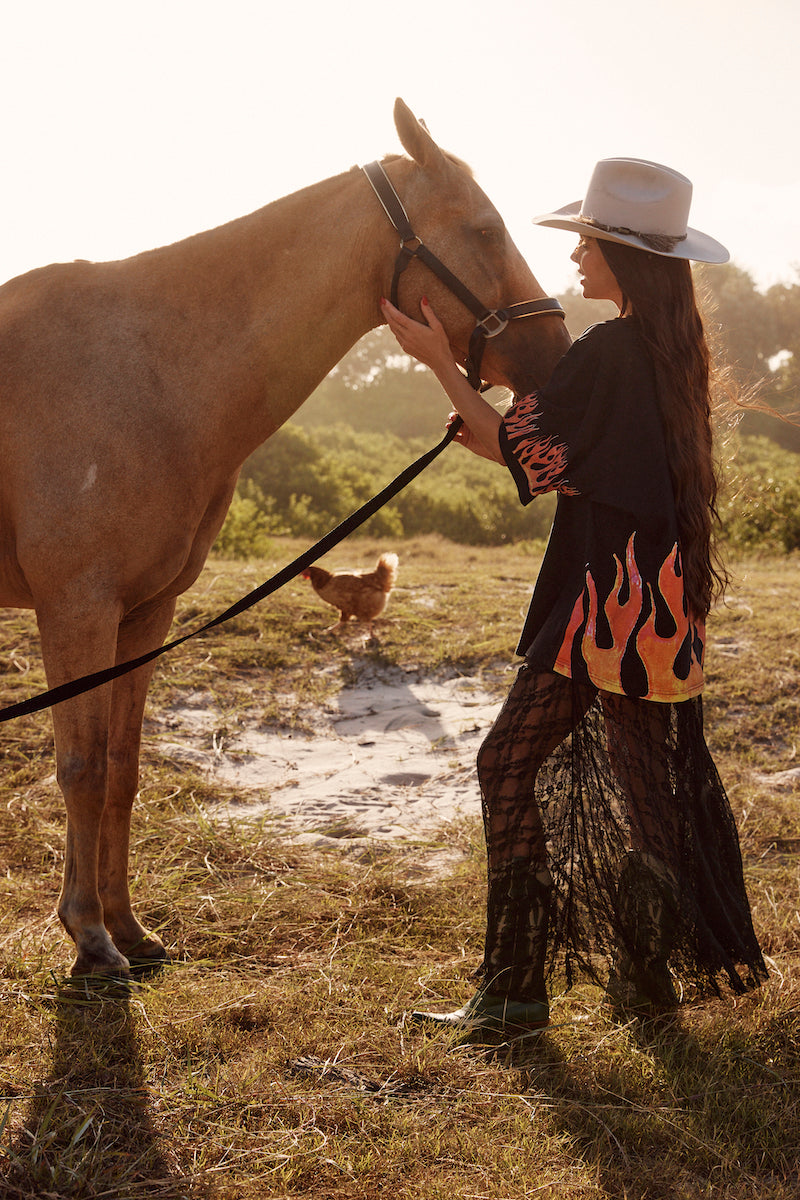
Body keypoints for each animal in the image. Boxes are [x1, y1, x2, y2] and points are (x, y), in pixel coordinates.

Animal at [3, 98, 573, 979]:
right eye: (484, 229)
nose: (558, 351)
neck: (146, 373)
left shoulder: (144, 614)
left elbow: (123, 770)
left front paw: (127, 928)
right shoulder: (77, 611)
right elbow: (82, 770)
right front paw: (90, 936)